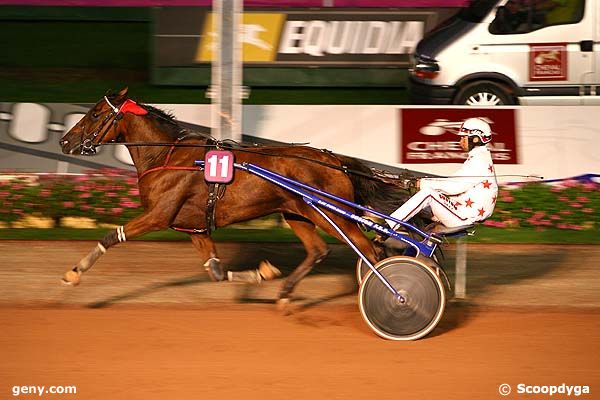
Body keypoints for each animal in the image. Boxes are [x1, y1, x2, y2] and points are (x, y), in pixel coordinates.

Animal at [58, 87, 412, 304]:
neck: (166, 155)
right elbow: (215, 272)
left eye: (94, 113)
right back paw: (285, 294)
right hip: (298, 213)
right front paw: (261, 273)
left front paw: (74, 272)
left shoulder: (158, 215)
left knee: (371, 251)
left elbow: (111, 236)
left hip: (334, 214)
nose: (64, 142)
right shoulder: (194, 227)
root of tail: (336, 161)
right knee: (319, 250)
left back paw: (390, 291)